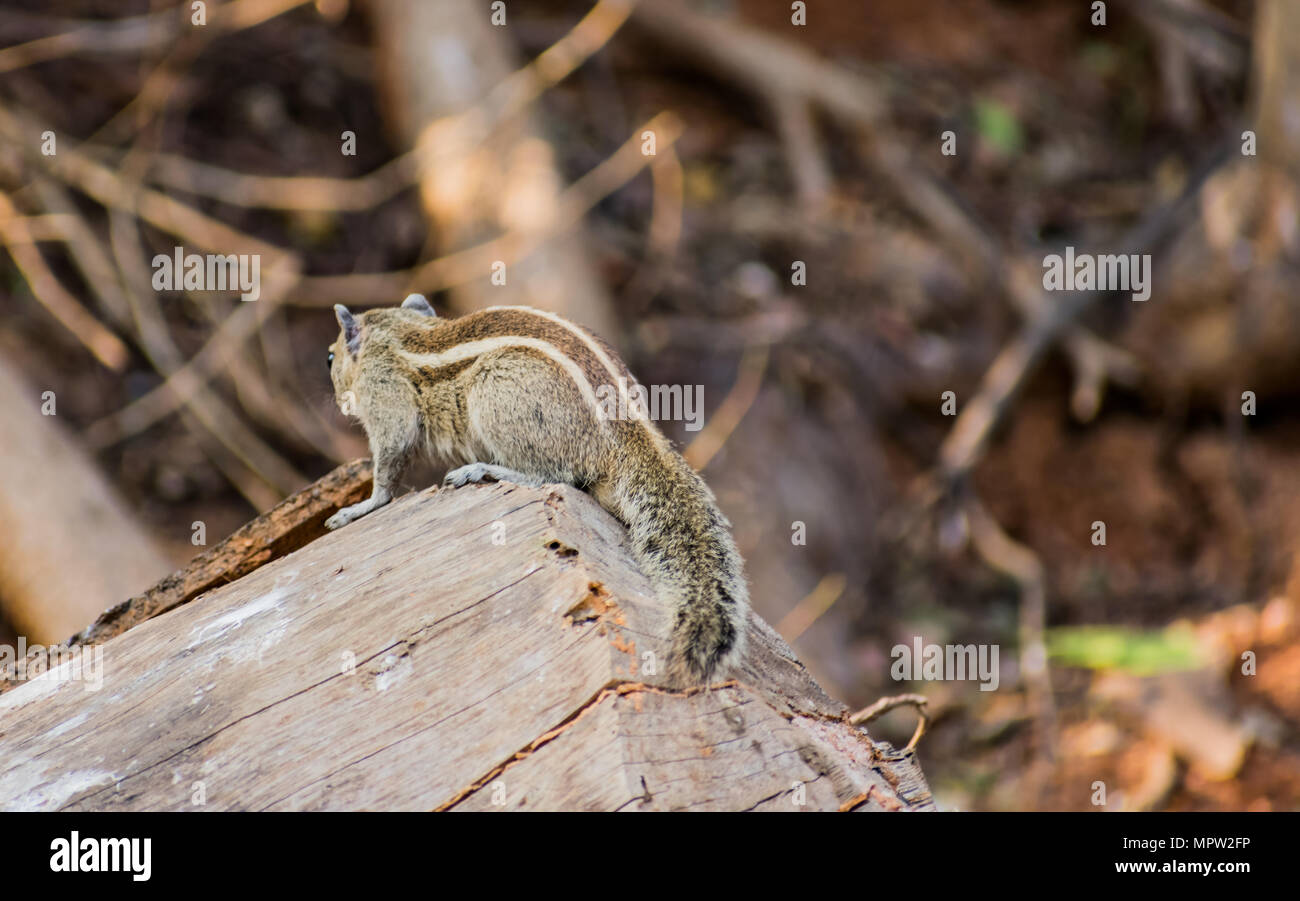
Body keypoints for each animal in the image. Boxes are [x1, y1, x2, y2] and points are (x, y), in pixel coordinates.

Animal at [323, 295, 754, 681]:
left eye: (329, 358)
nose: (334, 387)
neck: (398, 332)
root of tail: (628, 433)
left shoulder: (385, 397)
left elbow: (389, 461)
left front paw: (357, 508)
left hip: (496, 390)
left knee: (557, 474)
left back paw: (483, 470)